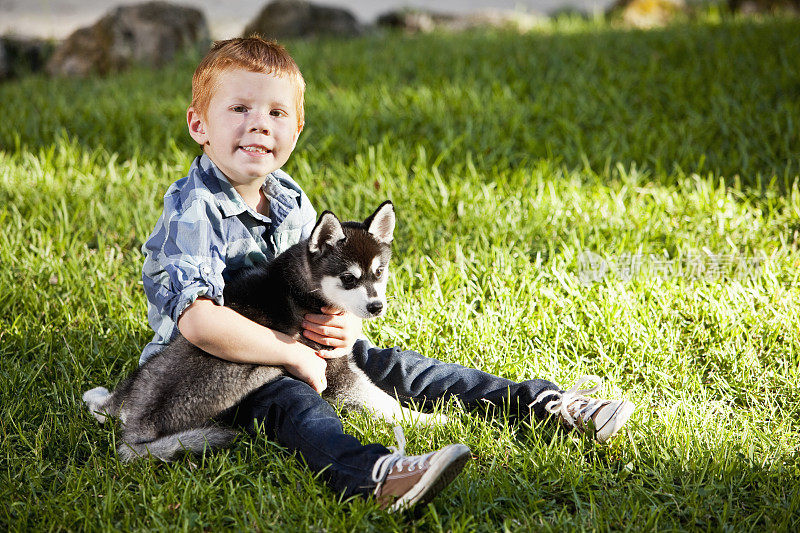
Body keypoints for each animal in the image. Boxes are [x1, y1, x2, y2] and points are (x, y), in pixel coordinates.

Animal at [84, 202, 440, 460]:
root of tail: (134, 429)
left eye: (379, 273)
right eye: (349, 279)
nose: (377, 307)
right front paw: (431, 420)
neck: (307, 286)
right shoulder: (337, 376)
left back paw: (101, 401)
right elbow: (386, 402)